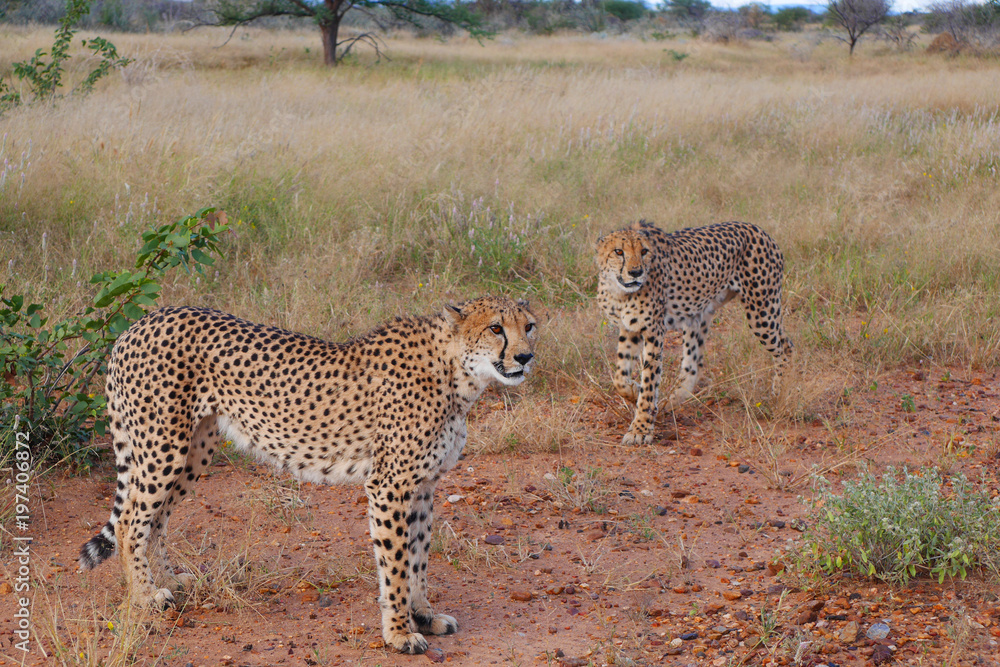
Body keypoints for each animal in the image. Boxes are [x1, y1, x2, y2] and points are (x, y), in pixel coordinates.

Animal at [79, 295, 538, 654]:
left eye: (529, 326)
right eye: (496, 328)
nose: (525, 356)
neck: (457, 372)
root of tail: (140, 322)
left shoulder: (424, 485)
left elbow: (419, 558)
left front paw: (423, 615)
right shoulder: (389, 486)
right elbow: (395, 565)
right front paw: (399, 633)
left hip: (194, 450)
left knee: (155, 518)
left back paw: (171, 580)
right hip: (163, 447)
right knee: (131, 521)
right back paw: (145, 595)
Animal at [596, 220, 792, 445]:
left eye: (644, 251)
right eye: (618, 251)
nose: (636, 272)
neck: (619, 292)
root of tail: (757, 229)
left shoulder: (654, 330)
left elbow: (649, 382)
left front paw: (641, 428)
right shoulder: (629, 328)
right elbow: (619, 378)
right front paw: (634, 391)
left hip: (762, 312)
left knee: (786, 346)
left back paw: (781, 392)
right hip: (699, 315)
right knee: (694, 365)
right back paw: (671, 401)